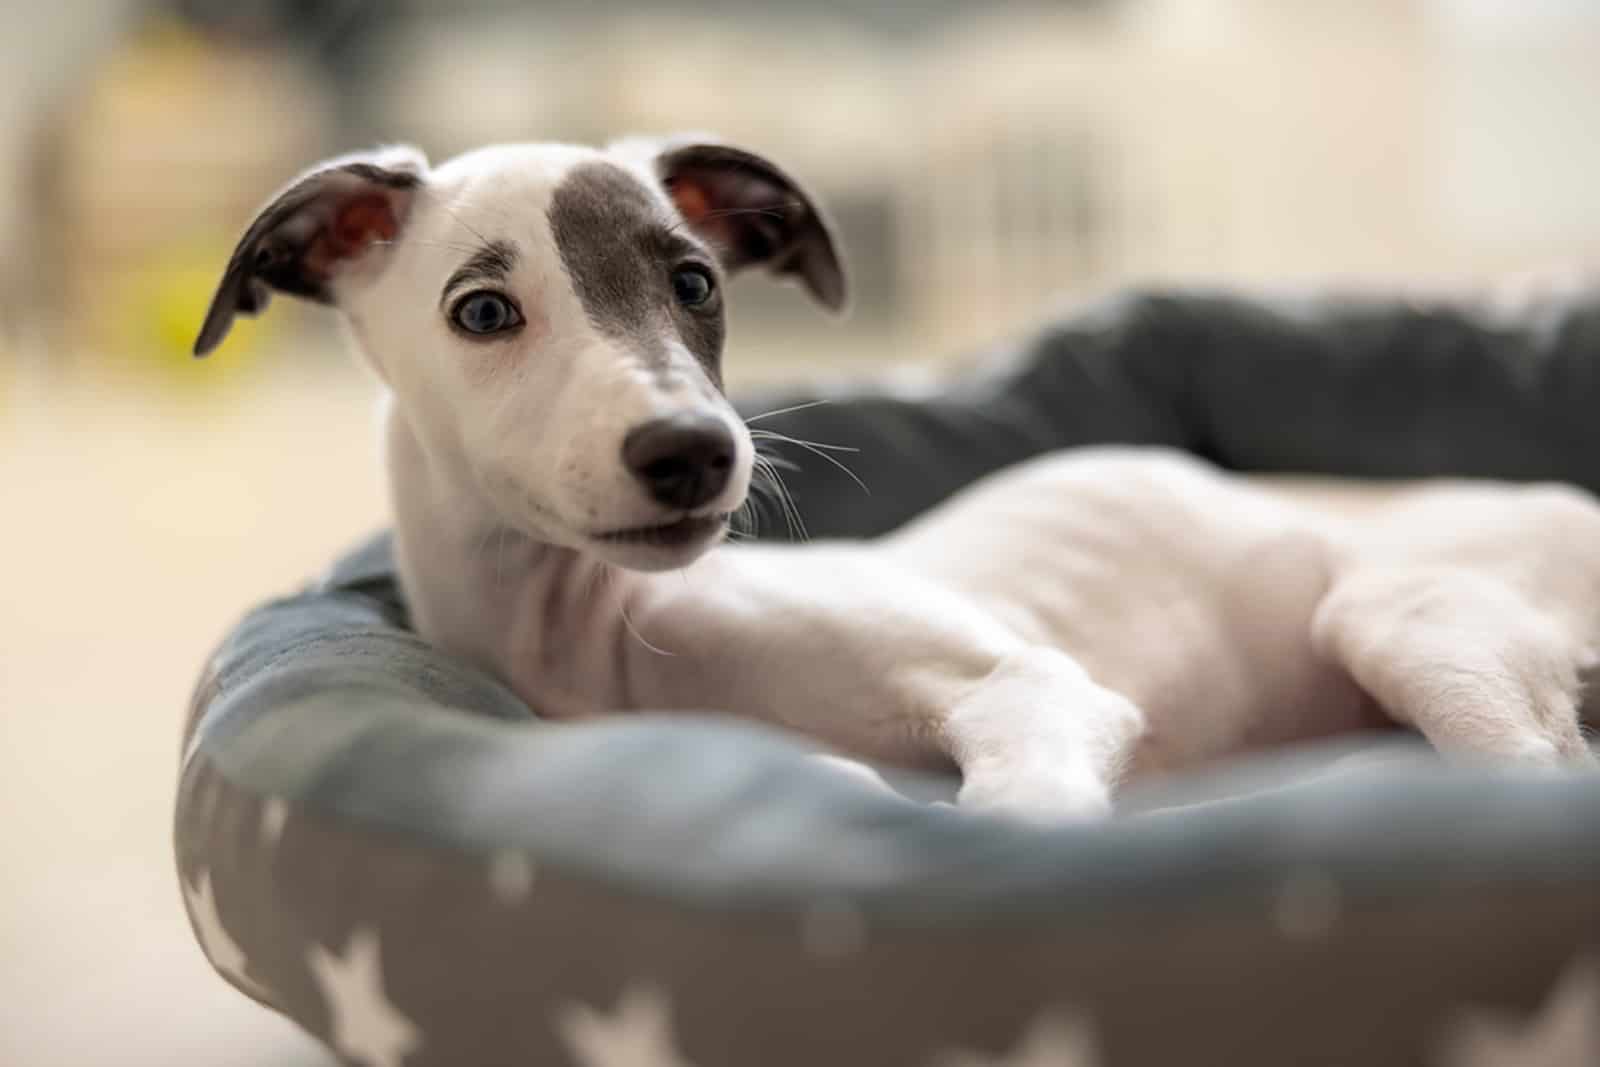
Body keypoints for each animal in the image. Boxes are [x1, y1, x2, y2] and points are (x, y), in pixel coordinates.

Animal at [193, 137, 1593, 825]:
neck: (601, 641)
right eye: (481, 311)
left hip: (1406, 623)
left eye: (695, 280)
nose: (693, 451)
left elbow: (1016, 815)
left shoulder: (1031, 690)